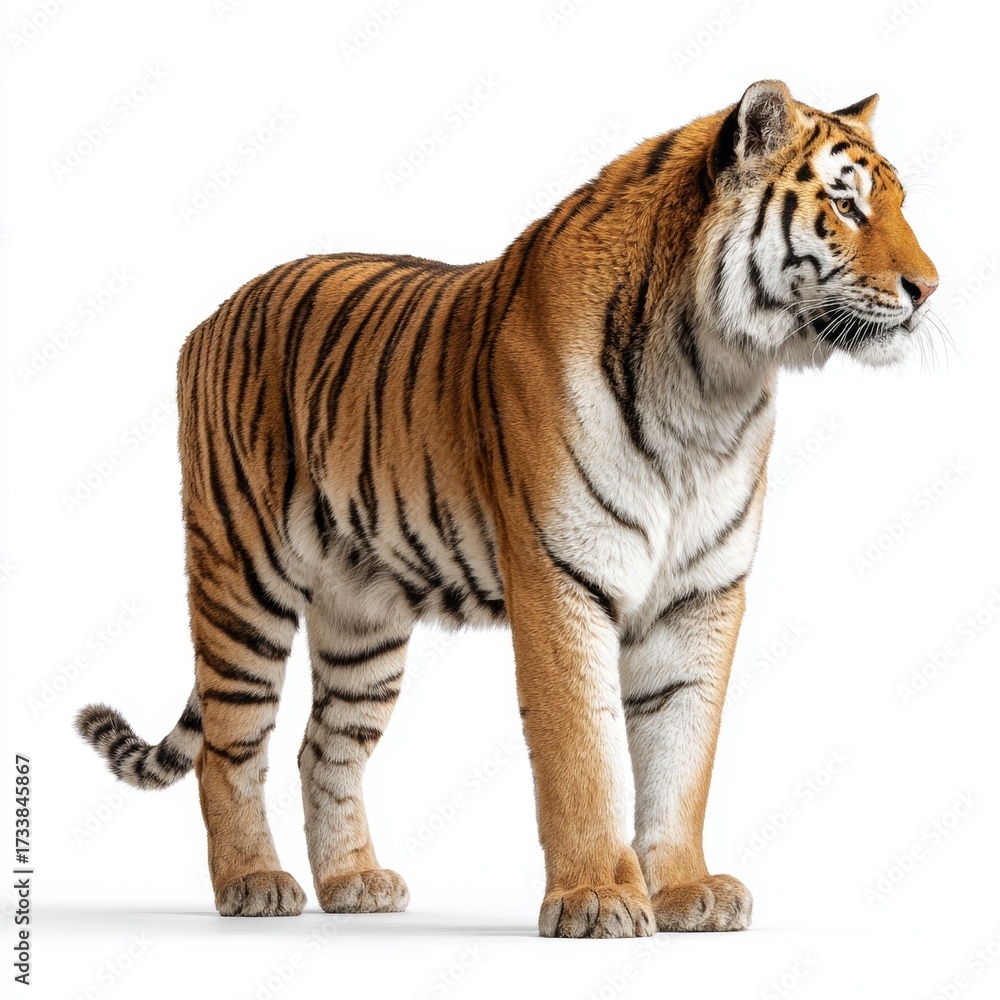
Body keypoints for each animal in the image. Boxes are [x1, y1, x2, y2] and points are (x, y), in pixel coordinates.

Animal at [76, 80, 938, 938]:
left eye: (899, 203)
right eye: (847, 206)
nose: (929, 289)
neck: (713, 382)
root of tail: (213, 315)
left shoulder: (701, 593)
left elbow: (682, 751)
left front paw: (687, 889)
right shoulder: (561, 577)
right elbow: (582, 751)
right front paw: (595, 899)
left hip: (361, 614)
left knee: (325, 747)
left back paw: (354, 883)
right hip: (241, 580)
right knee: (229, 747)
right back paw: (253, 882)